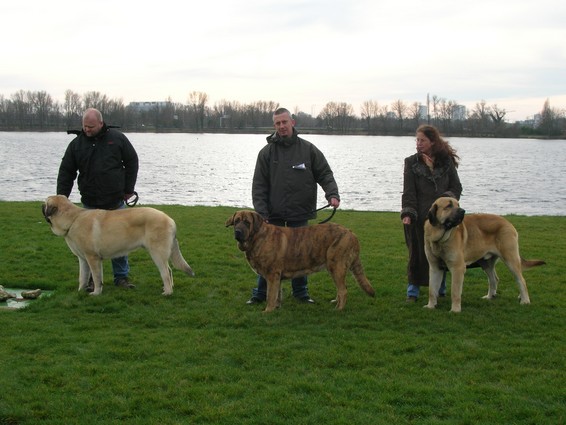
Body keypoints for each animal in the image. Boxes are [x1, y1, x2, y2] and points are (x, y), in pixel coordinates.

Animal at [42, 195, 195, 294]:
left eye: (45, 203)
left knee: (165, 273)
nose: (41, 206)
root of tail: (170, 220)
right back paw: (167, 289)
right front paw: (80, 292)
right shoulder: (83, 259)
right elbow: (83, 277)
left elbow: (96, 278)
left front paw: (96, 293)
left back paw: (167, 292)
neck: (73, 219)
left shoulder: (93, 258)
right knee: (169, 271)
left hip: (157, 253)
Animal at [226, 210, 378, 312]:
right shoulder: (277, 277)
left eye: (247, 222)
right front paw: (276, 308)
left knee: (343, 290)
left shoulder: (272, 275)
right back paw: (336, 301)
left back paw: (338, 309)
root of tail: (351, 233)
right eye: (236, 221)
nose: (238, 232)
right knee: (341, 288)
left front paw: (267, 311)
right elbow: (277, 294)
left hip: (336, 266)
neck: (257, 237)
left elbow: (270, 294)